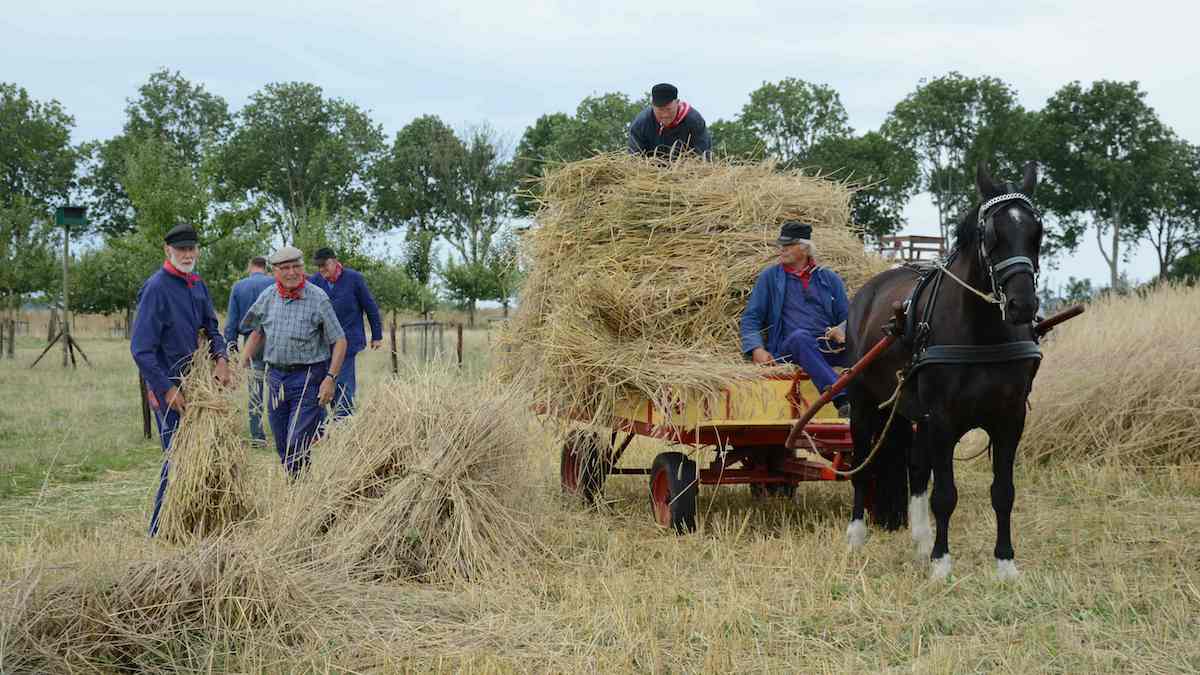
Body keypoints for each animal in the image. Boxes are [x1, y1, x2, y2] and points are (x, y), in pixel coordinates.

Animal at [844, 159, 1041, 576]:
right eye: (991, 233)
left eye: (1037, 230)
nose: (1022, 305)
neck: (982, 334)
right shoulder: (943, 418)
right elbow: (945, 494)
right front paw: (941, 563)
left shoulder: (1010, 418)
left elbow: (1003, 492)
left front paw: (1005, 563)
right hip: (864, 401)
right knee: (862, 463)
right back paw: (856, 535)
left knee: (917, 468)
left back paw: (920, 539)